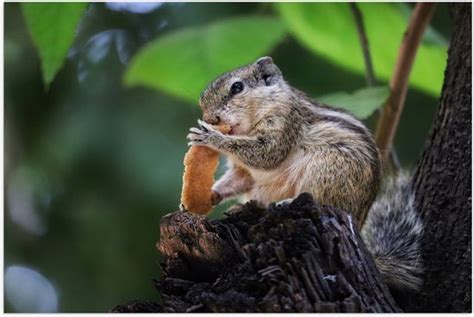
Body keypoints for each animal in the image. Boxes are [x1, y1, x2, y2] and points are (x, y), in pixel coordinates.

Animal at [187, 56, 424, 292]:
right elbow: (240, 178)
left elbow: (266, 154)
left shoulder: (283, 126)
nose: (211, 118)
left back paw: (286, 202)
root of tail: (358, 222)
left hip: (326, 172)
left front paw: (212, 137)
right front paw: (210, 195)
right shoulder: (243, 170)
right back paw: (245, 207)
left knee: (321, 200)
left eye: (237, 87)